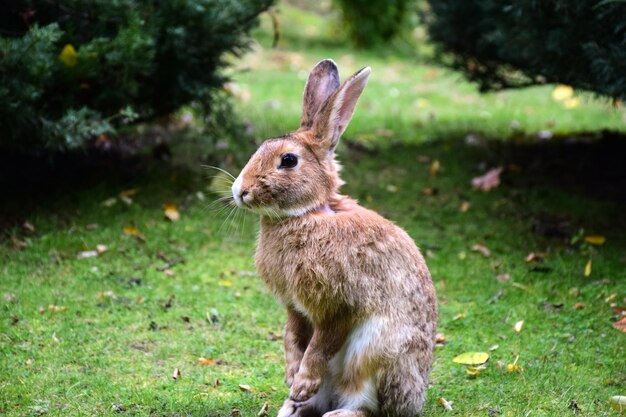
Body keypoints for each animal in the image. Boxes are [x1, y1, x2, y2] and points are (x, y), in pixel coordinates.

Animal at [230, 59, 438, 416]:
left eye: (288, 160)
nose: (240, 191)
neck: (308, 213)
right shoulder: (295, 307)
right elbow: (293, 338)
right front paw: (292, 378)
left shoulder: (340, 305)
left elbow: (319, 347)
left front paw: (301, 382)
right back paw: (293, 407)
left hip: (374, 352)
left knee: (366, 406)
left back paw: (334, 411)